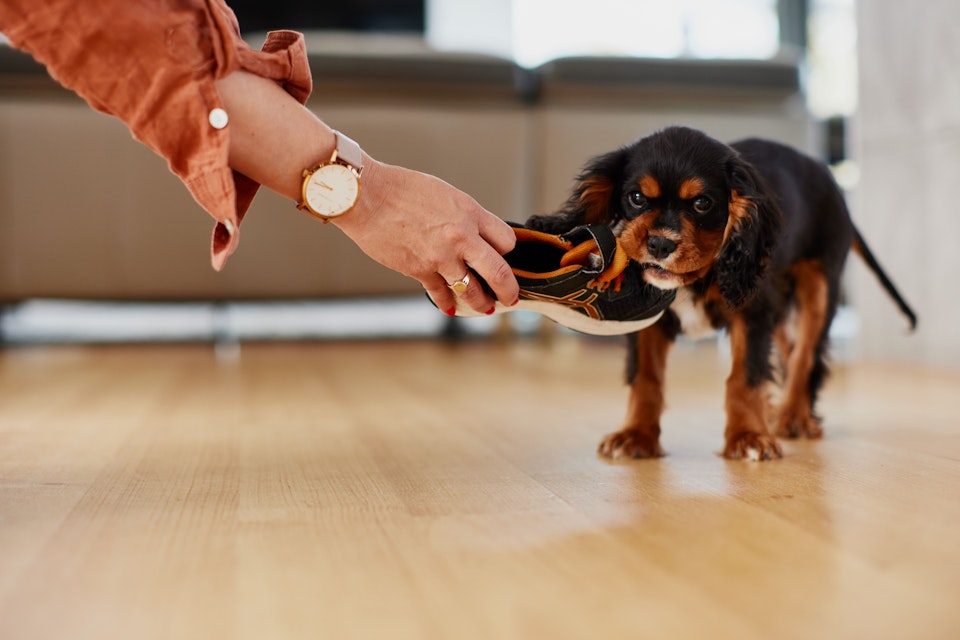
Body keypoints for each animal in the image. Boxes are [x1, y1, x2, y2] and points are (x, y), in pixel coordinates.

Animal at [528, 124, 920, 460]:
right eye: (636, 198)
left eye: (702, 203)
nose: (659, 244)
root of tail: (828, 176)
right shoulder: (648, 319)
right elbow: (646, 378)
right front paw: (636, 435)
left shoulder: (753, 312)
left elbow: (744, 377)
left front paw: (749, 436)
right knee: (792, 351)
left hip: (818, 286)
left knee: (805, 356)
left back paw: (793, 415)